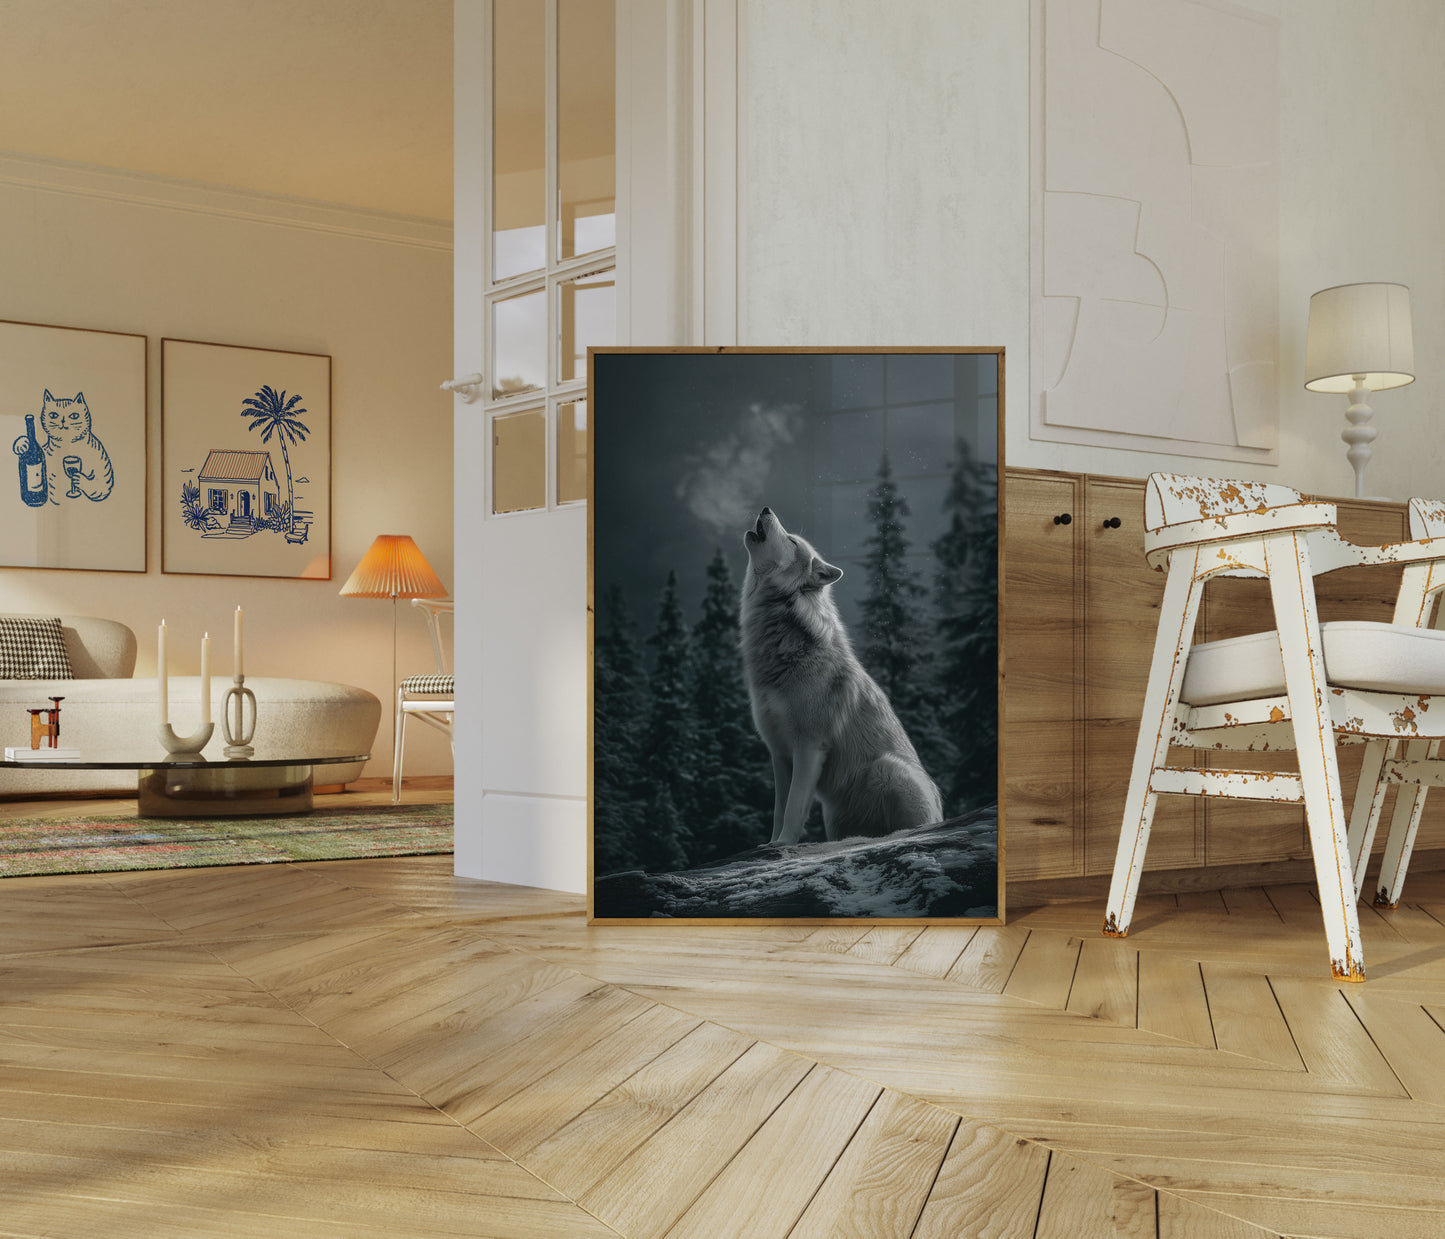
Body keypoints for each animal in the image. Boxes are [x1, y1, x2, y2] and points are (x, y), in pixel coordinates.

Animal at [740, 507, 943, 846]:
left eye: (792, 541)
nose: (767, 509)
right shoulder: (779, 753)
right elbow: (779, 809)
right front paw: (771, 844)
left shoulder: (809, 746)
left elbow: (794, 806)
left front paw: (784, 844)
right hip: (833, 816)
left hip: (888, 769)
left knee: (912, 829)